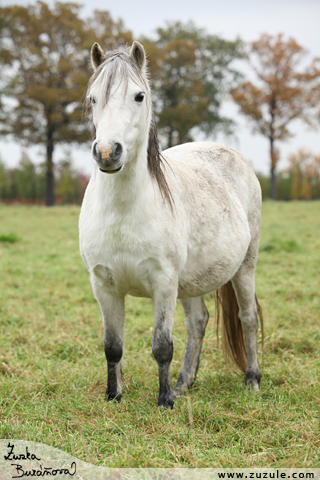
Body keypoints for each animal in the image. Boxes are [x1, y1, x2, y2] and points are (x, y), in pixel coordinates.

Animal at [79, 42, 262, 408]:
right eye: (93, 98)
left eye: (139, 96)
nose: (107, 152)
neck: (123, 211)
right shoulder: (103, 285)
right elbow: (112, 346)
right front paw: (113, 395)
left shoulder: (163, 282)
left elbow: (162, 345)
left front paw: (164, 400)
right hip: (190, 281)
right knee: (198, 321)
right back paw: (184, 383)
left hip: (245, 267)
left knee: (247, 317)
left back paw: (251, 379)